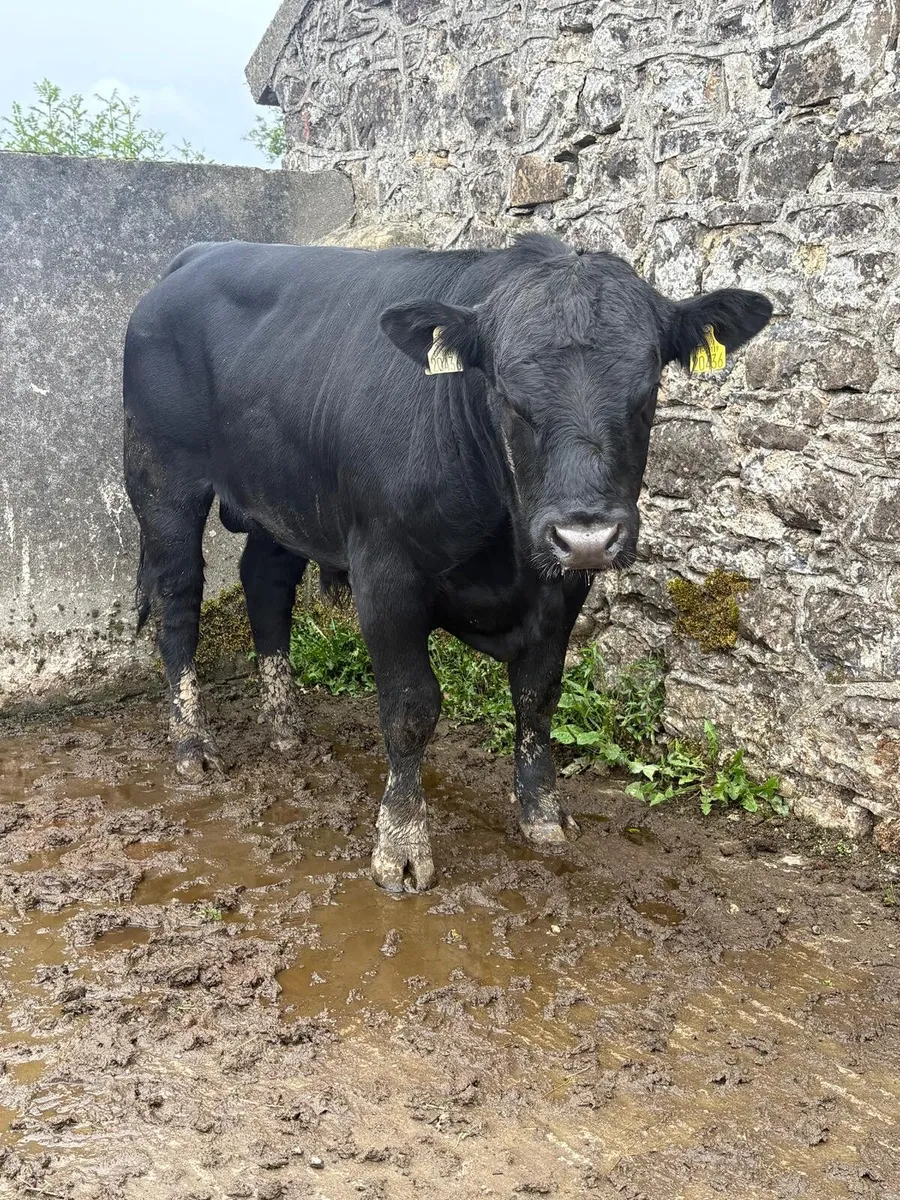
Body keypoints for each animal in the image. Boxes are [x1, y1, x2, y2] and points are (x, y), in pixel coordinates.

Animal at [123, 233, 772, 892]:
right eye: (509, 398)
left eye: (646, 394)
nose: (586, 535)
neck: (504, 543)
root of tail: (202, 252)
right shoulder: (385, 574)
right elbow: (411, 707)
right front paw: (402, 845)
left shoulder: (563, 587)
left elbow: (538, 694)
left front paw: (542, 812)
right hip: (161, 478)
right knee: (179, 601)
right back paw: (192, 745)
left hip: (280, 498)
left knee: (266, 583)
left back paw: (285, 725)